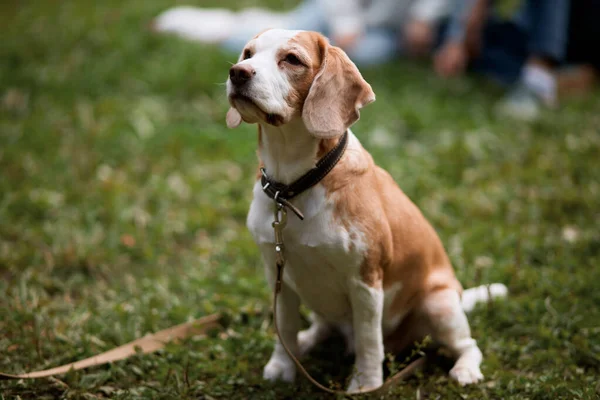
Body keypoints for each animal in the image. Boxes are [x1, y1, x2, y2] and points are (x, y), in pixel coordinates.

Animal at [225, 28, 506, 394]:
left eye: (292, 59)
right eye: (248, 54)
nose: (237, 73)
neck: (295, 186)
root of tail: (459, 294)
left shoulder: (366, 282)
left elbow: (369, 340)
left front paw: (366, 384)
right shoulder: (279, 276)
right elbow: (283, 327)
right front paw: (283, 366)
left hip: (440, 304)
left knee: (467, 345)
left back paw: (466, 369)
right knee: (323, 327)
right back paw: (307, 341)